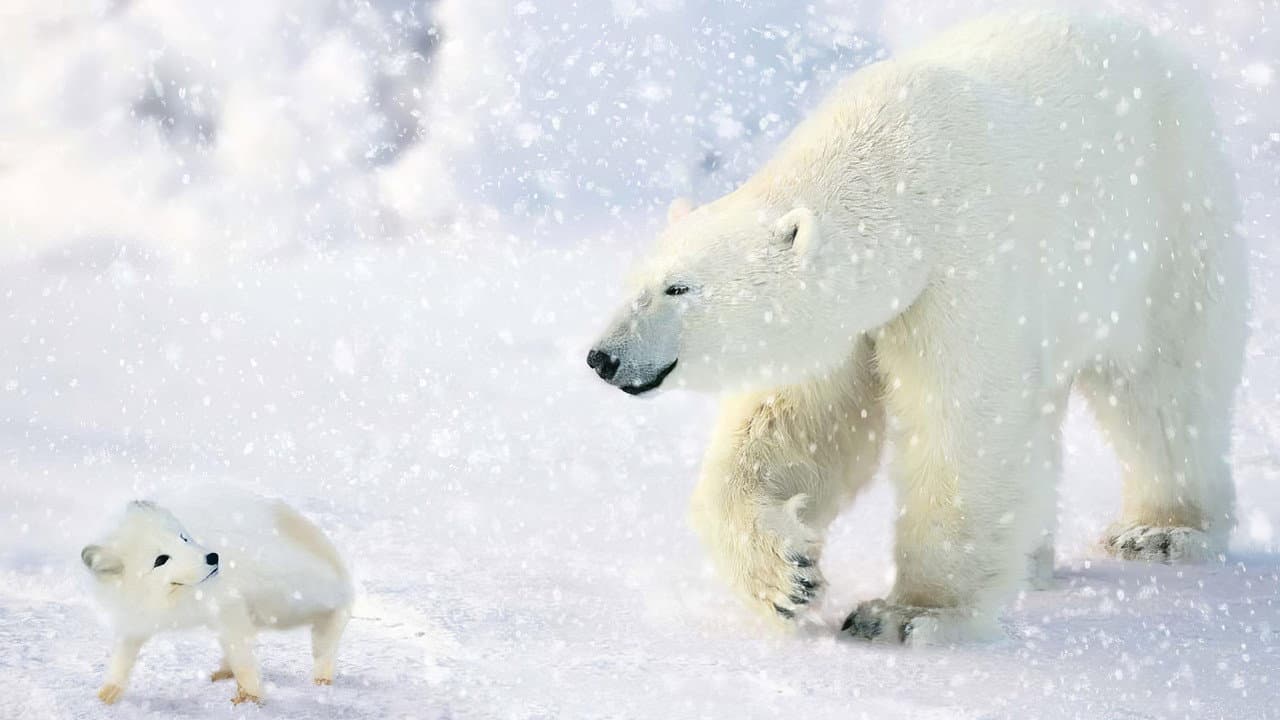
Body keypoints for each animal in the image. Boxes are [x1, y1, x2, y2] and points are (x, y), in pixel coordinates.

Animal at [81, 488, 354, 704]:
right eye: (161, 559)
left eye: (183, 537)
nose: (213, 557)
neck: (174, 599)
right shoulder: (136, 617)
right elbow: (121, 658)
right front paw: (107, 694)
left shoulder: (227, 606)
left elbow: (244, 661)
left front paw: (251, 697)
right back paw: (223, 672)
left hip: (295, 600)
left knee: (332, 626)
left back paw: (322, 676)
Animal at [586, 12, 1248, 645]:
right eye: (632, 282)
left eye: (678, 288)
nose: (603, 356)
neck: (900, 174)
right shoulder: (853, 325)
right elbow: (798, 427)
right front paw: (788, 576)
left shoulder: (963, 268)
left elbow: (963, 421)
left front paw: (905, 614)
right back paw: (1034, 561)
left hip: (1165, 226)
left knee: (1165, 389)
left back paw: (1160, 530)